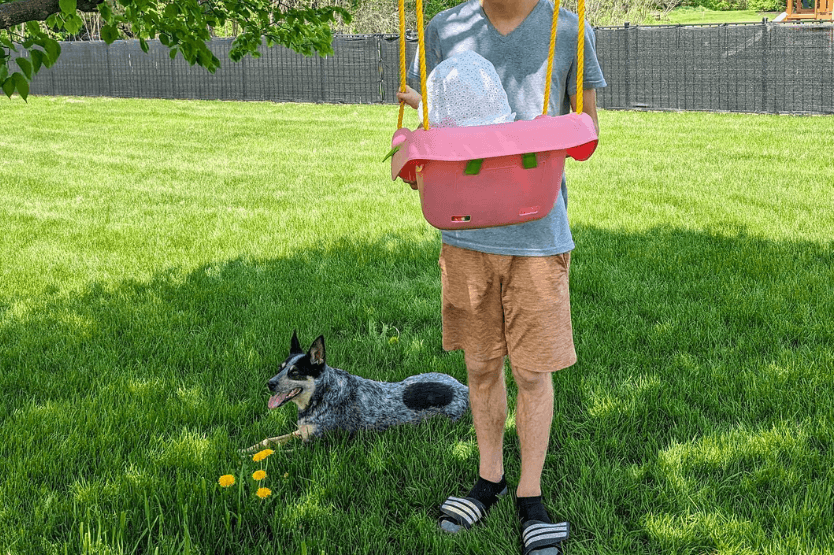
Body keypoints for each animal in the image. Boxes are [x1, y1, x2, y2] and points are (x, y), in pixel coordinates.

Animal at [240, 332, 468, 454]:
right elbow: (268, 442)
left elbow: (274, 453)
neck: (323, 394)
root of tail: (465, 389)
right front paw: (244, 450)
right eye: (280, 368)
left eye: (295, 372)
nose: (269, 384)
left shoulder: (315, 446)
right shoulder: (302, 432)